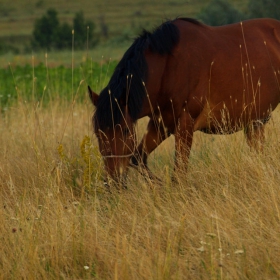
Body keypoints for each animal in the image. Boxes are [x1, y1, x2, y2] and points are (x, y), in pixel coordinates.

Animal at [88, 17, 280, 180]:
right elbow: (138, 158)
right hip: (255, 123)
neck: (168, 69)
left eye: (126, 130)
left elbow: (179, 175)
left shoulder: (185, 126)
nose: (114, 180)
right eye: (98, 133)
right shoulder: (160, 125)